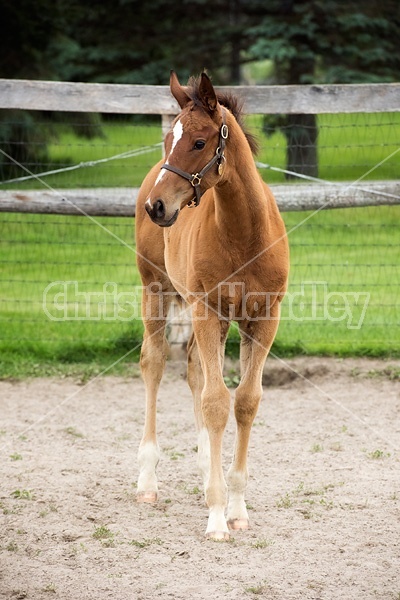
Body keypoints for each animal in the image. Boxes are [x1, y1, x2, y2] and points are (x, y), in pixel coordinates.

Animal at [136, 70, 290, 540]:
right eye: (168, 139)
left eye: (199, 142)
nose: (157, 206)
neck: (244, 234)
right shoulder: (208, 310)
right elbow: (217, 401)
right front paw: (217, 516)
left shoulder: (263, 318)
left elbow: (244, 401)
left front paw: (236, 508)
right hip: (155, 289)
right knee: (154, 362)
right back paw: (147, 481)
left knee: (193, 368)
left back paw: (207, 468)